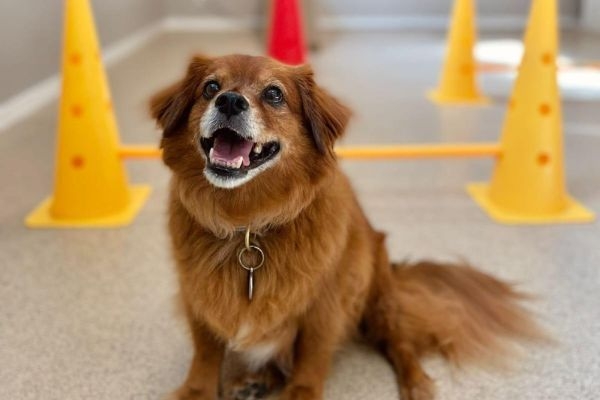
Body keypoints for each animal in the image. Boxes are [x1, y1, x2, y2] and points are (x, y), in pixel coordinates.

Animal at [150, 54, 544, 400]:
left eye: (274, 94)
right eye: (210, 87)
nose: (229, 101)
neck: (247, 224)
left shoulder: (324, 307)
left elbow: (310, 358)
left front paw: (302, 394)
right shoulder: (199, 296)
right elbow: (205, 355)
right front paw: (196, 392)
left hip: (378, 300)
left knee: (399, 343)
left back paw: (415, 382)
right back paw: (257, 379)